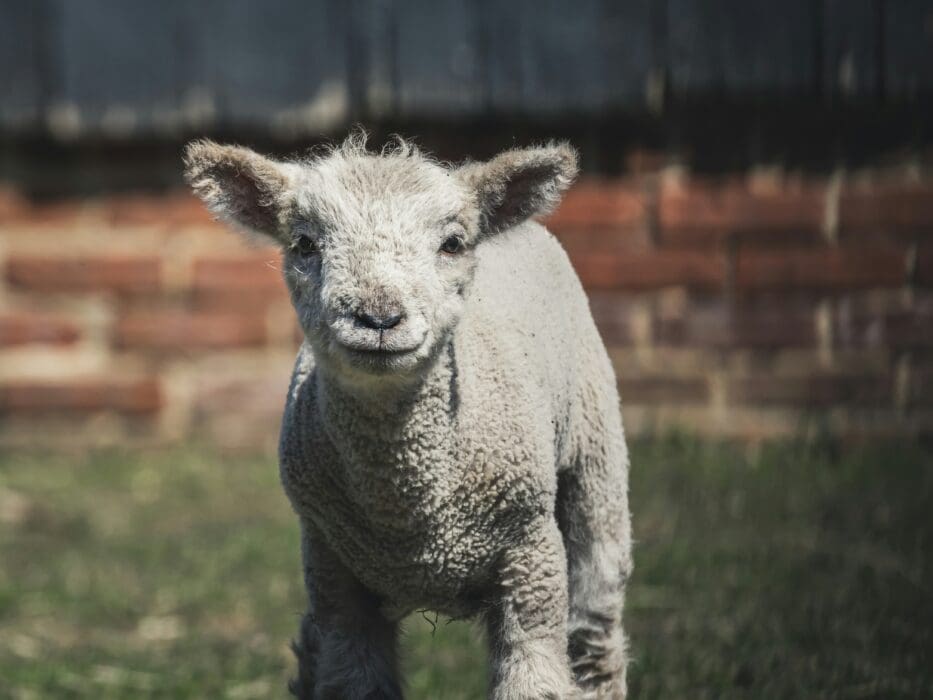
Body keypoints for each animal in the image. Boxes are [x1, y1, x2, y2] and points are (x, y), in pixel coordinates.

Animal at [184, 134, 632, 700]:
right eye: (304, 244)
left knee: (595, 634)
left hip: (595, 466)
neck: (410, 518)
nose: (378, 318)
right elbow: (351, 677)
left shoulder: (531, 560)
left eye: (453, 244)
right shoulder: (336, 575)